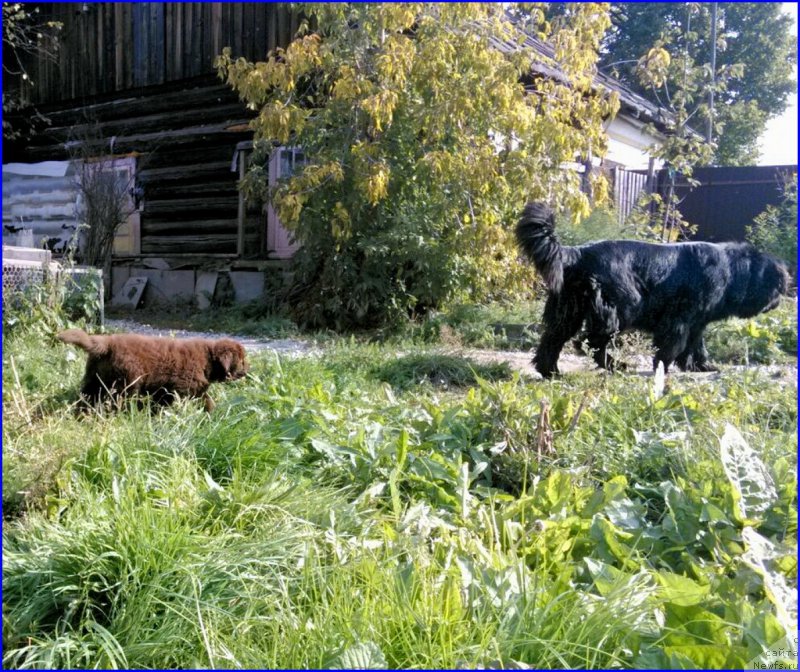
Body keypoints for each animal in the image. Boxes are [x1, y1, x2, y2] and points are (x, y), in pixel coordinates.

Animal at [57, 328, 247, 412]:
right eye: (242, 361)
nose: (248, 371)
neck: (208, 359)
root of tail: (107, 343)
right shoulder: (182, 389)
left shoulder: (171, 390)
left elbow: (206, 400)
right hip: (127, 382)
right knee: (117, 401)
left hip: (94, 378)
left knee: (87, 397)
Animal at [516, 200, 792, 378]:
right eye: (778, 286)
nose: (778, 301)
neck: (732, 271)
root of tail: (578, 253)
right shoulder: (679, 319)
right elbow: (673, 345)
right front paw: (663, 367)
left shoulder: (697, 322)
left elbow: (696, 346)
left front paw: (702, 367)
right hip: (622, 306)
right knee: (591, 341)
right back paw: (617, 366)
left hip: (569, 309)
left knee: (554, 338)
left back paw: (551, 372)